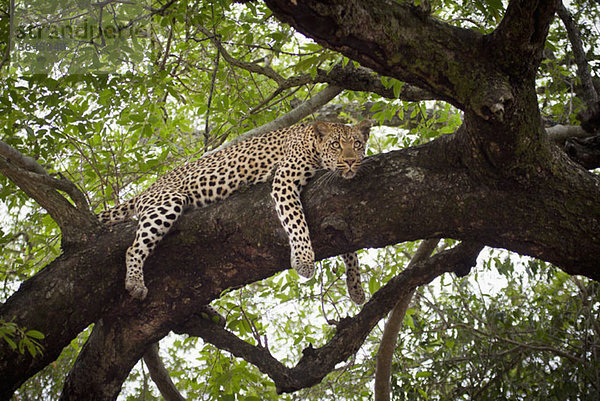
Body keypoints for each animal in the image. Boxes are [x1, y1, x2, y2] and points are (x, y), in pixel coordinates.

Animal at [98, 119, 370, 304]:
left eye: (357, 144)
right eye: (336, 145)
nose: (349, 161)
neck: (314, 144)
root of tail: (149, 187)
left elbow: (349, 249)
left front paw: (355, 286)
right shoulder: (284, 180)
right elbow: (295, 221)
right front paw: (304, 261)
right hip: (166, 202)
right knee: (133, 248)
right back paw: (135, 282)